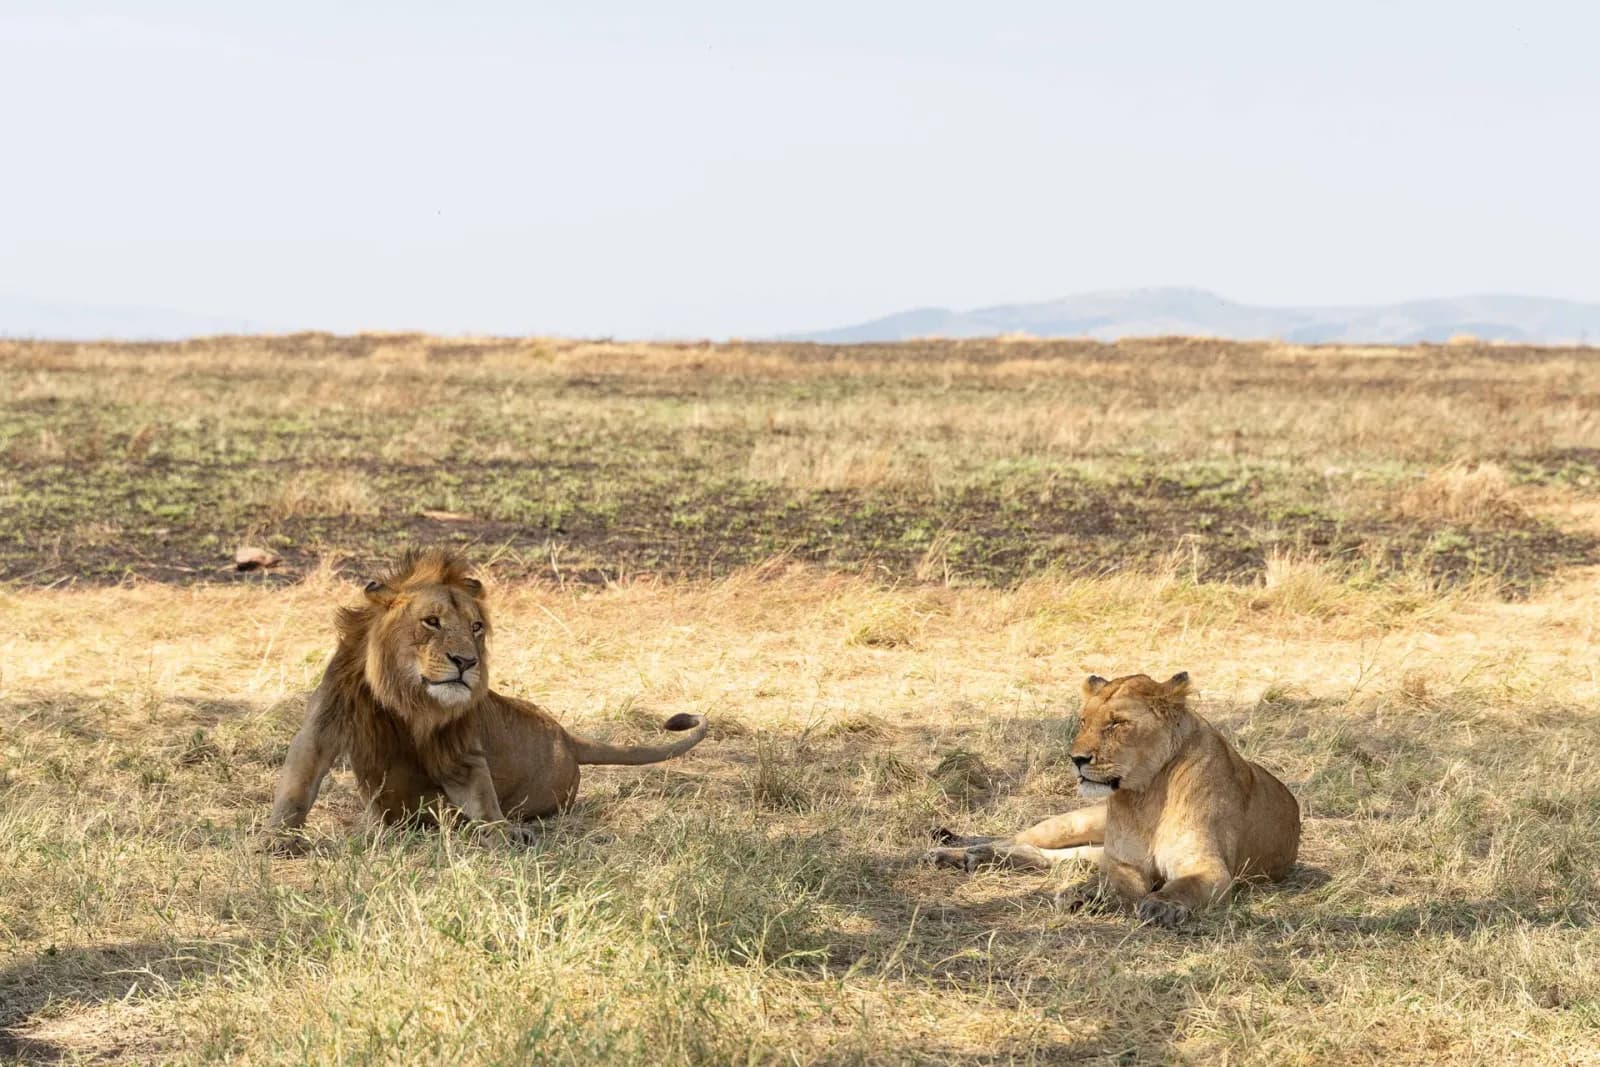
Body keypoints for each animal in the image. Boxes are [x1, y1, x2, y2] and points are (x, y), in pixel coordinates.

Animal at [263, 548, 709, 849]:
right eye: (432, 621)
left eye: (476, 627)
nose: (466, 662)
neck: (406, 697)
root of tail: (566, 736)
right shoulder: (322, 727)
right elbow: (297, 787)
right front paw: (277, 839)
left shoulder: (460, 754)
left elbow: (481, 802)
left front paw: (503, 834)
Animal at [926, 671, 1300, 925]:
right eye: (1083, 721)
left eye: (1117, 723)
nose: (1076, 759)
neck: (1147, 795)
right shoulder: (1123, 862)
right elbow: (1113, 884)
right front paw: (1086, 896)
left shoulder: (1208, 867)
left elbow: (1184, 887)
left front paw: (1161, 905)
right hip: (1073, 823)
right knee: (1018, 839)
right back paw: (958, 853)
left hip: (1090, 849)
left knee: (1052, 857)